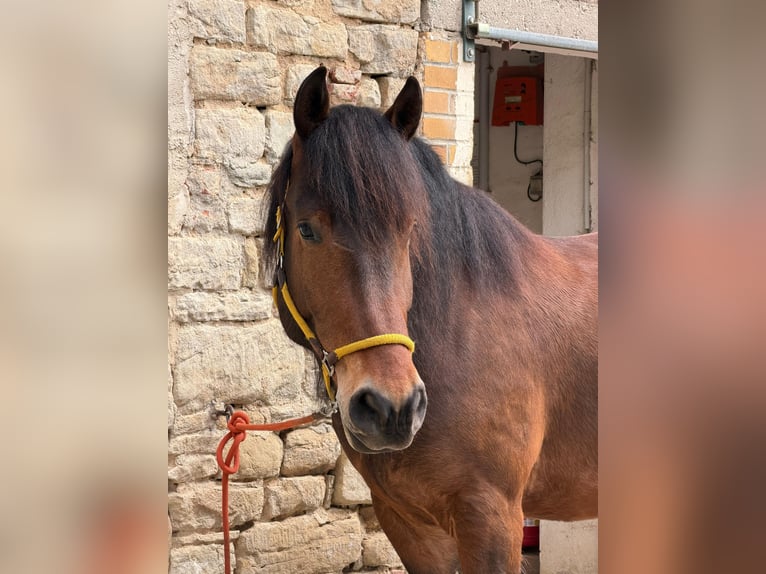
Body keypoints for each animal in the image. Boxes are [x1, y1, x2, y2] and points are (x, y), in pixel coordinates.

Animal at [263, 66, 598, 573]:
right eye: (306, 229)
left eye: (409, 230)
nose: (392, 407)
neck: (458, 335)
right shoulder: (408, 522)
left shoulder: (493, 518)